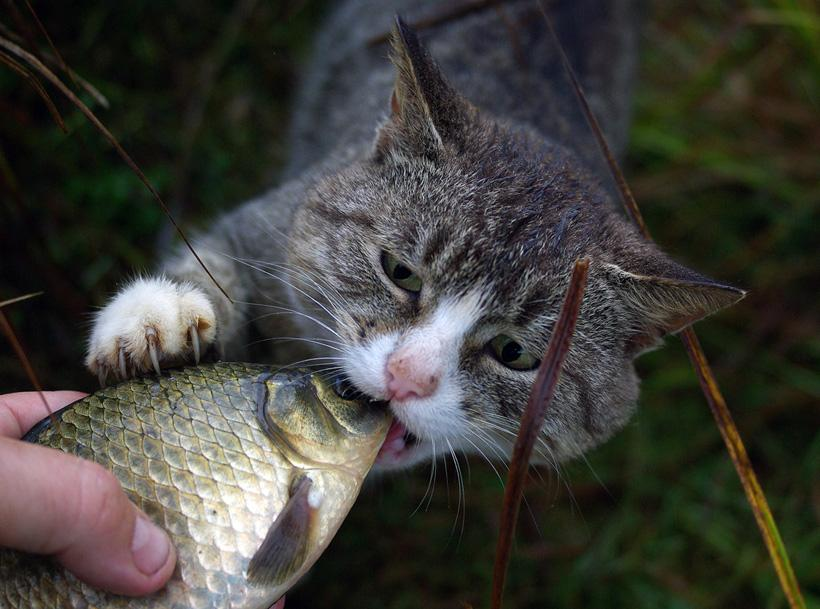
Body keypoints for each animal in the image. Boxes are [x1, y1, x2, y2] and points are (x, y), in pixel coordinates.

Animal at [83, 0, 744, 470]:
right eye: (400, 272)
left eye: (516, 354)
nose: (407, 376)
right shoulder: (267, 222)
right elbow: (213, 258)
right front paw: (160, 318)